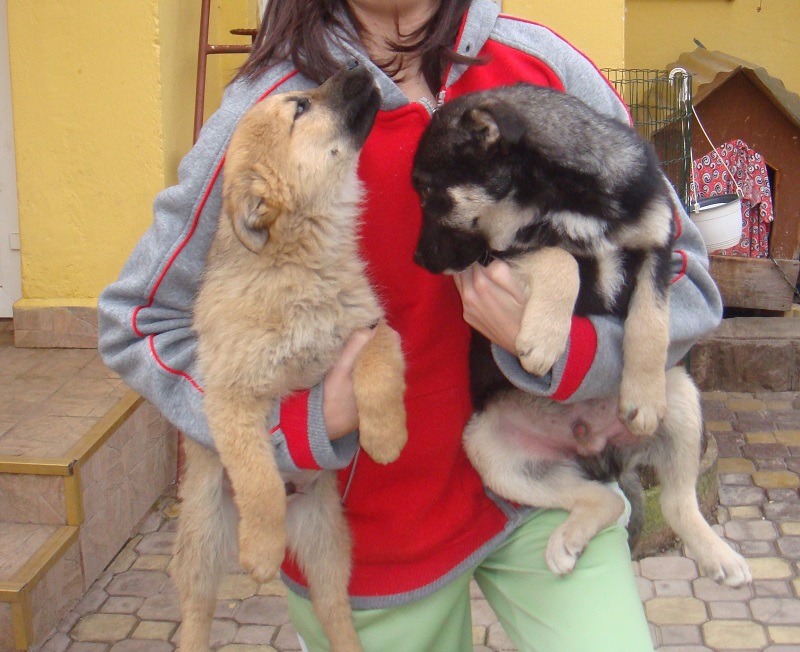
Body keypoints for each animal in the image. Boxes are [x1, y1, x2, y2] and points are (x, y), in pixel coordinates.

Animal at [176, 62, 412, 652]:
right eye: (300, 107)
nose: (355, 64)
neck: (298, 267)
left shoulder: (370, 330)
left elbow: (379, 369)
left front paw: (386, 436)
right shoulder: (230, 401)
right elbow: (260, 480)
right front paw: (261, 551)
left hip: (327, 541)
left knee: (335, 608)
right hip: (204, 534)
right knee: (196, 607)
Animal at [412, 84, 752, 588]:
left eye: (431, 192)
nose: (419, 260)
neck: (571, 197)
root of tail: (599, 451)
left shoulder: (658, 249)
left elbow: (650, 320)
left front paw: (642, 396)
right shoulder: (500, 255)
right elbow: (561, 259)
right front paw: (545, 338)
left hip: (682, 393)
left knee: (676, 501)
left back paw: (720, 555)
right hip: (493, 450)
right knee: (607, 500)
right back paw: (568, 542)